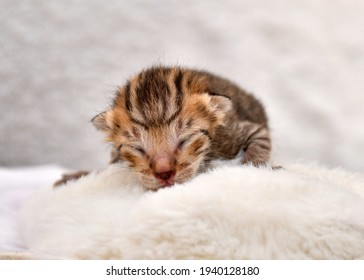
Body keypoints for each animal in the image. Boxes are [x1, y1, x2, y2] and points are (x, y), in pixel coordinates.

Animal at [53, 65, 270, 190]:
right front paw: (77, 176)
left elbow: (260, 143)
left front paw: (254, 167)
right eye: (138, 148)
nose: (164, 173)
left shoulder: (234, 133)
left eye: (184, 141)